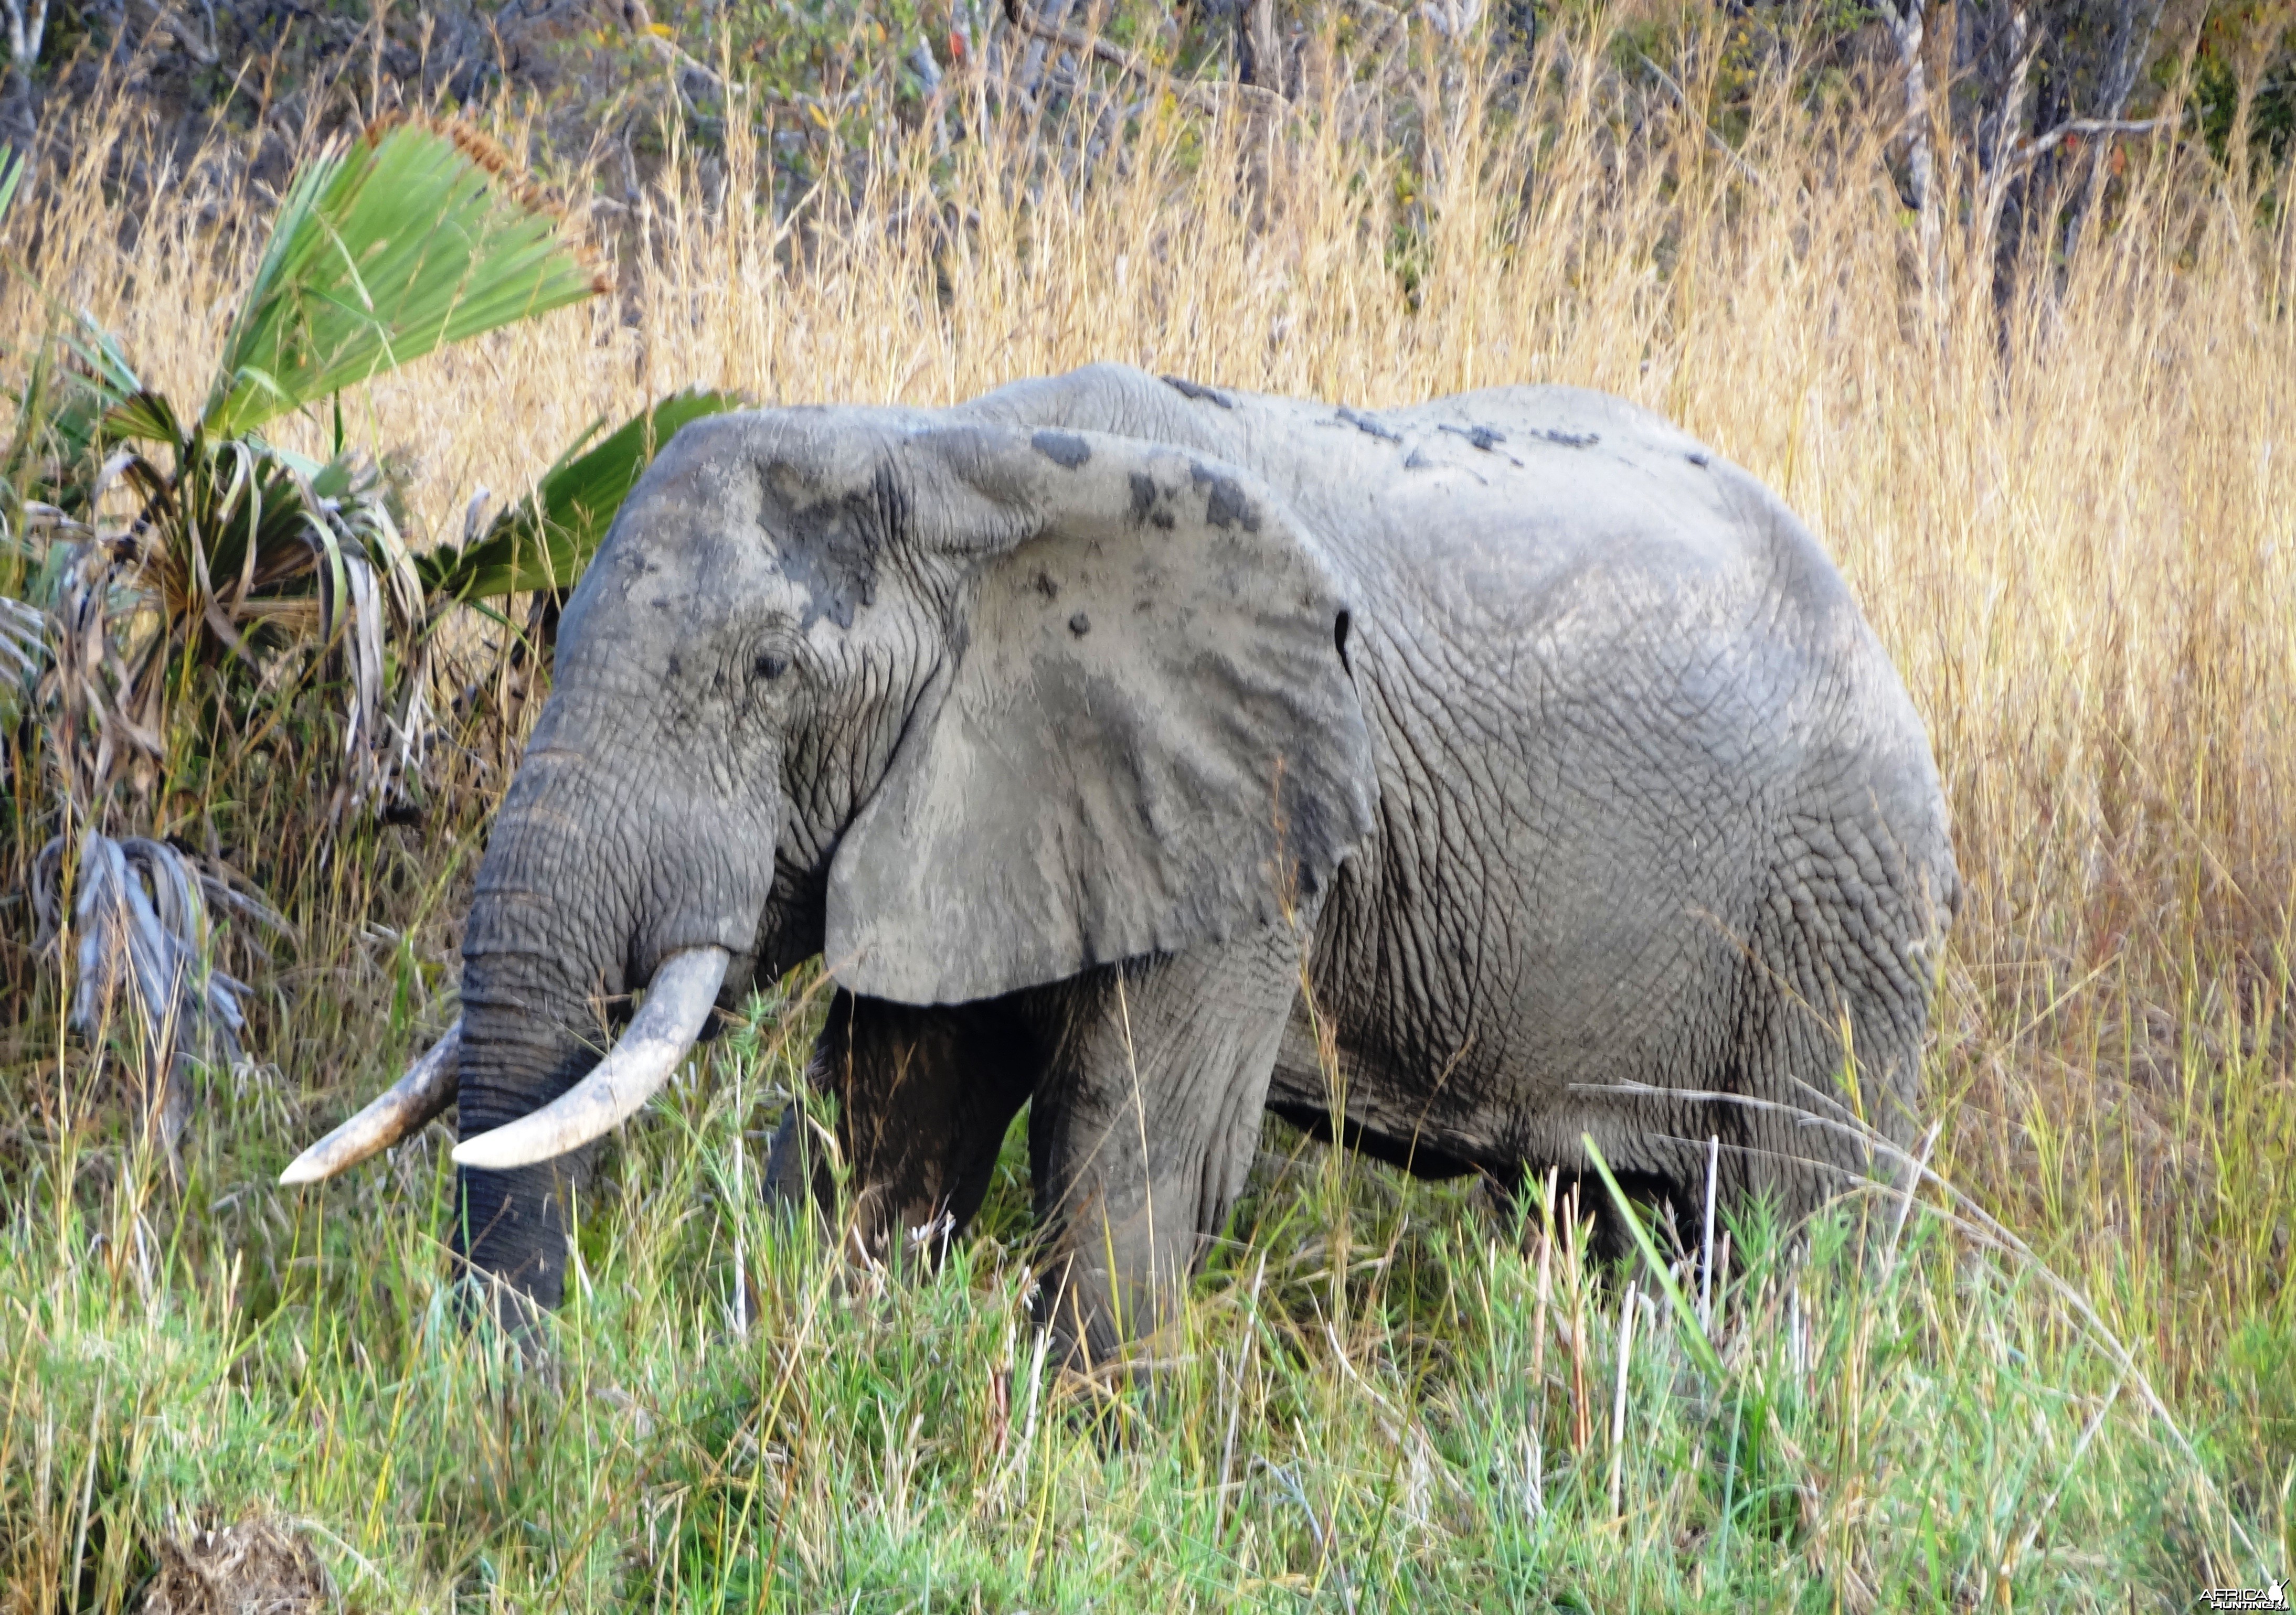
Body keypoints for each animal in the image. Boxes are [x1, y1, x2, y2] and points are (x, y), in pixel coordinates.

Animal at [282, 362, 1956, 1358]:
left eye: (766, 672)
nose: (523, 1384)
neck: (951, 455)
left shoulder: (1255, 801)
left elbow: (1136, 1133)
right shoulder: (965, 785)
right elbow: (887, 1121)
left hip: (1838, 908)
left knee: (1792, 1219)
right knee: (1615, 1217)